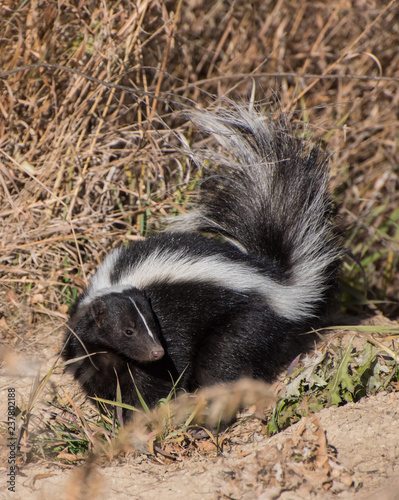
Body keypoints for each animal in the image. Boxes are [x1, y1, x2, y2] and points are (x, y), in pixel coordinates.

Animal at [62, 106, 340, 418]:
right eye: (127, 331)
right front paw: (115, 415)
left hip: (244, 321)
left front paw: (146, 412)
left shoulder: (172, 321)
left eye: (151, 324)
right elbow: (96, 375)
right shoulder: (88, 344)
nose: (155, 351)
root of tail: (274, 276)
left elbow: (162, 373)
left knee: (222, 360)